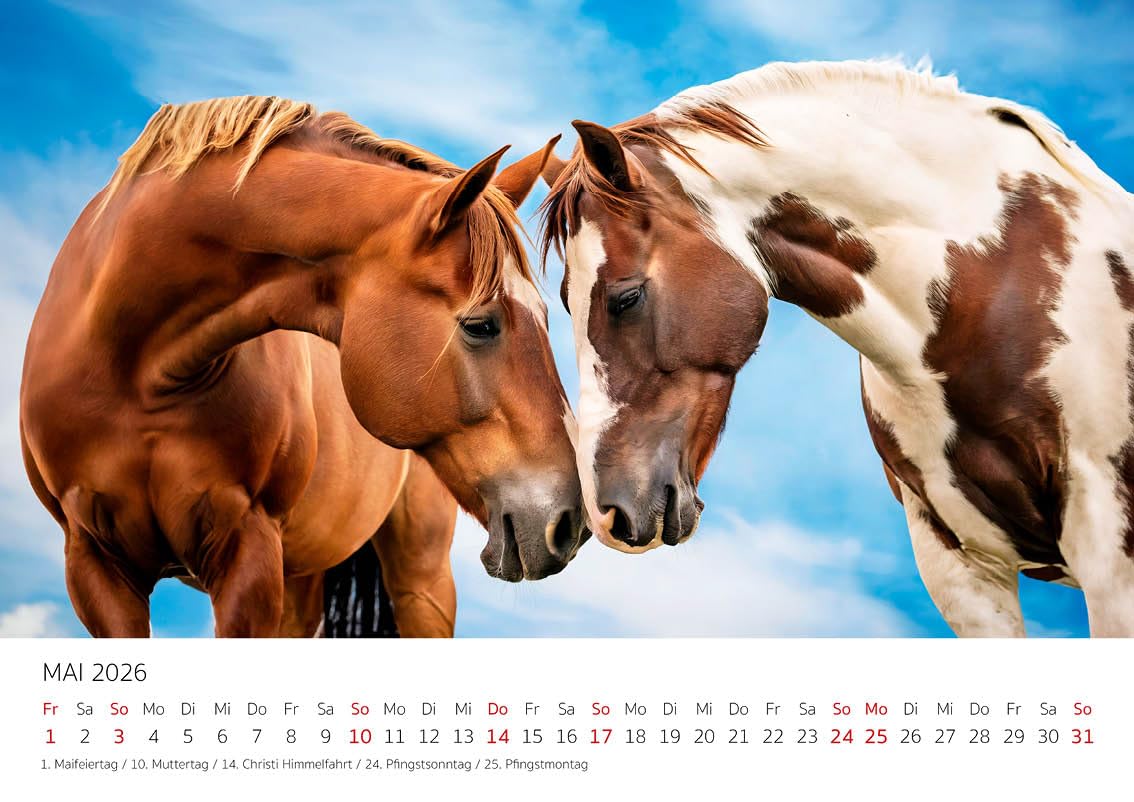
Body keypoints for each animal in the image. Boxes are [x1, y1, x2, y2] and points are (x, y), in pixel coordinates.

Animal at [20, 95, 585, 638]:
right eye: (480, 325)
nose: (570, 519)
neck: (137, 370)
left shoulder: (248, 551)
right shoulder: (94, 564)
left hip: (417, 580)